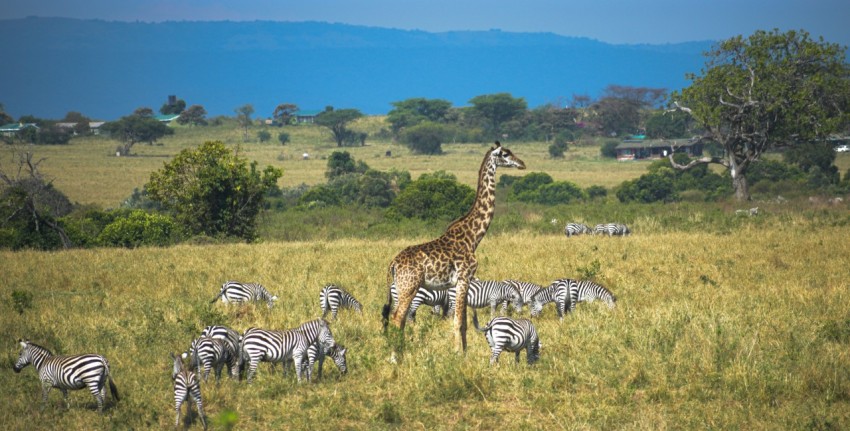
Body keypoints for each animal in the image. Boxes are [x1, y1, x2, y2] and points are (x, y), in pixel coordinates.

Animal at [380, 142, 524, 354]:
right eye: (505, 154)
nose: (522, 163)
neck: (473, 237)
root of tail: (393, 264)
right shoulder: (464, 277)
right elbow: (457, 321)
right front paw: (457, 353)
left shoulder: (462, 282)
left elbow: (463, 322)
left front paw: (464, 353)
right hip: (409, 287)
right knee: (398, 318)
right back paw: (396, 355)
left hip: (400, 288)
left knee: (397, 318)